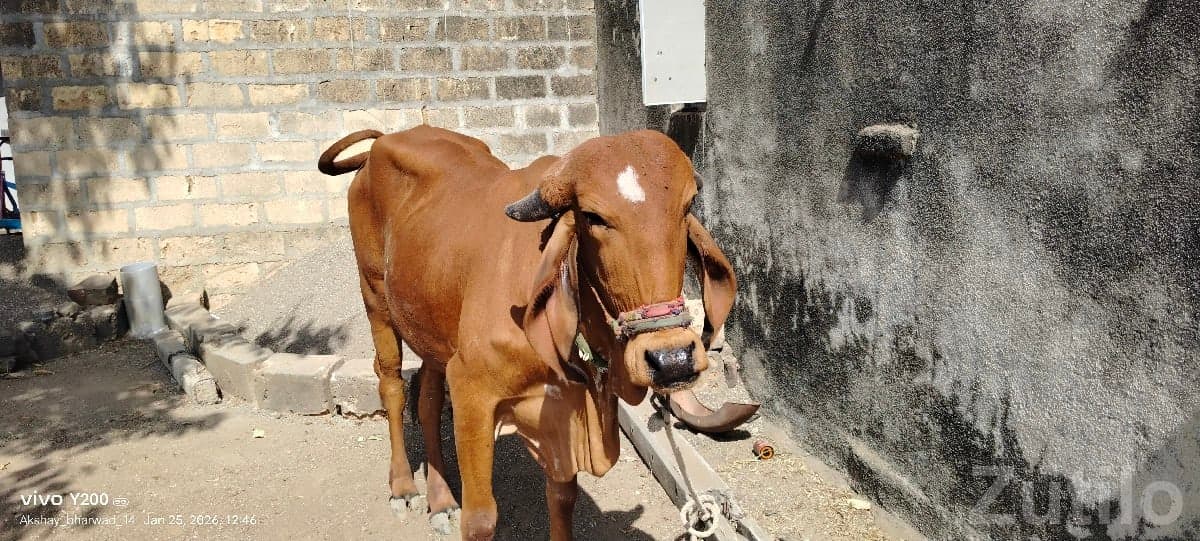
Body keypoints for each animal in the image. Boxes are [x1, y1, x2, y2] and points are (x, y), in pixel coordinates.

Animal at [318, 125, 736, 541]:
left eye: (688, 206)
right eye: (592, 216)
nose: (672, 359)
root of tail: (384, 139)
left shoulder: (559, 413)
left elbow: (562, 497)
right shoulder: (471, 389)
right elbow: (480, 520)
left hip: (429, 325)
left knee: (429, 399)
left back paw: (441, 499)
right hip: (376, 300)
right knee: (391, 384)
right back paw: (404, 487)